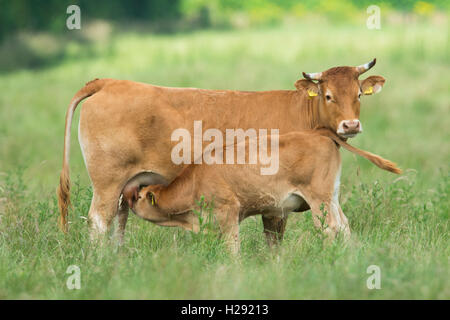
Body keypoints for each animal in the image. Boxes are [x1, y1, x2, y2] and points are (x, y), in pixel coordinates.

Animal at [57, 58, 386, 241]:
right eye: (328, 95)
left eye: (359, 94)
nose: (350, 125)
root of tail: (109, 82)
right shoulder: (276, 202)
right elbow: (274, 241)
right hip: (107, 182)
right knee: (100, 222)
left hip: (126, 185)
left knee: (119, 221)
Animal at [124, 129, 400, 254]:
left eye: (139, 196)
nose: (126, 197)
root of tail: (321, 133)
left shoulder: (229, 212)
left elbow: (232, 246)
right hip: (331, 197)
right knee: (344, 225)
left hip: (318, 199)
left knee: (329, 227)